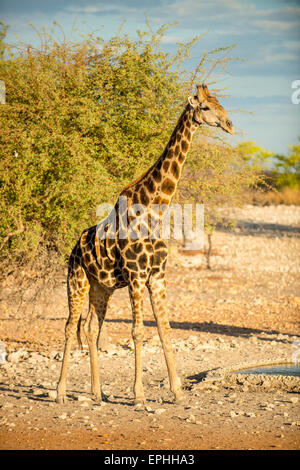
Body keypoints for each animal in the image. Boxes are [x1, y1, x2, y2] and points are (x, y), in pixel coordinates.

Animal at [56, 83, 234, 404]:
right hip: (76, 282)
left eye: (220, 104)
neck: (156, 207)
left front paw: (177, 391)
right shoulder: (138, 275)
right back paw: (61, 392)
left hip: (101, 288)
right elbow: (138, 331)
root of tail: (74, 250)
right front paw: (138, 394)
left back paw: (98, 392)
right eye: (205, 107)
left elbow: (164, 328)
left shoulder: (157, 276)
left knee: (90, 328)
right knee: (68, 327)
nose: (229, 124)